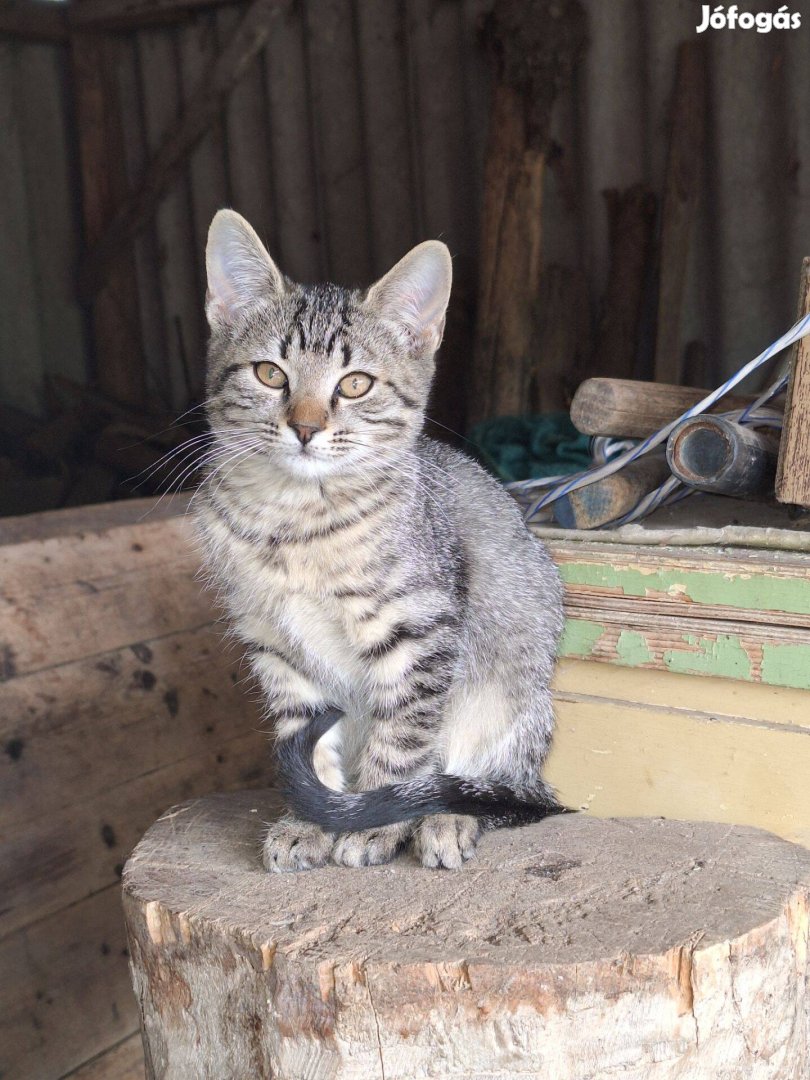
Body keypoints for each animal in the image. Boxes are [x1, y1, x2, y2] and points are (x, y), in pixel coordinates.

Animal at [195, 210, 565, 868]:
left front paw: (372, 822)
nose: (305, 427)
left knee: (489, 781)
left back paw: (444, 817)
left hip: (513, 695)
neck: (295, 523)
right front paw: (310, 821)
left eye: (355, 385)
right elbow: (304, 739)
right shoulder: (273, 641)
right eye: (270, 373)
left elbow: (401, 739)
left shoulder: (419, 631)